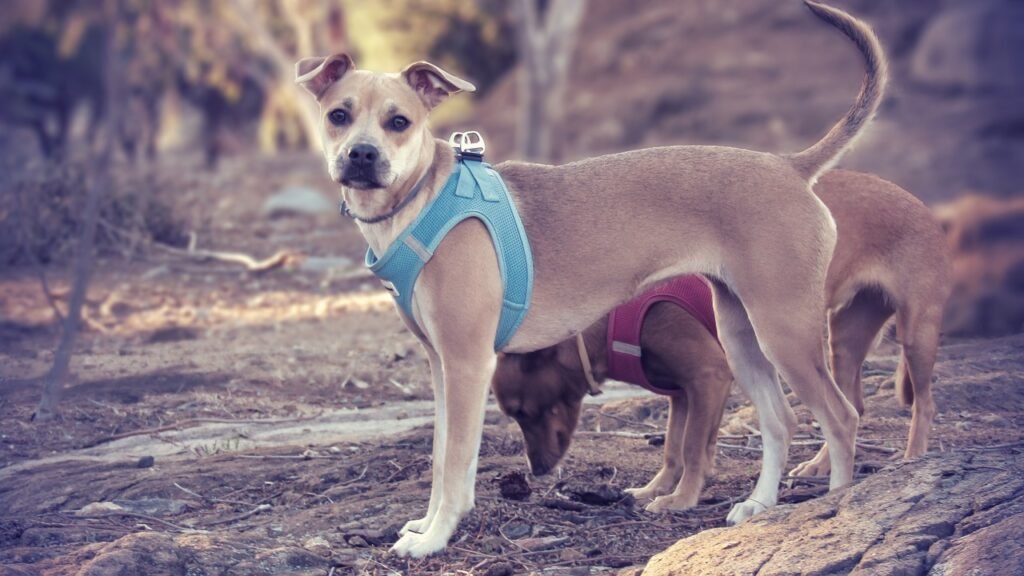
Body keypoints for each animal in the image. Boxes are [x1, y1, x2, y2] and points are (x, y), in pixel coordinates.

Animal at [491, 168, 946, 508]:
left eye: (524, 412)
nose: (536, 471)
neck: (618, 315)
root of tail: (918, 203)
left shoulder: (710, 375)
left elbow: (693, 446)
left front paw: (681, 497)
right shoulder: (681, 393)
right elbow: (674, 446)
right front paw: (657, 488)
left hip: (912, 333)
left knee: (921, 402)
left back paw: (911, 459)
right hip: (842, 338)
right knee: (851, 404)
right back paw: (819, 467)